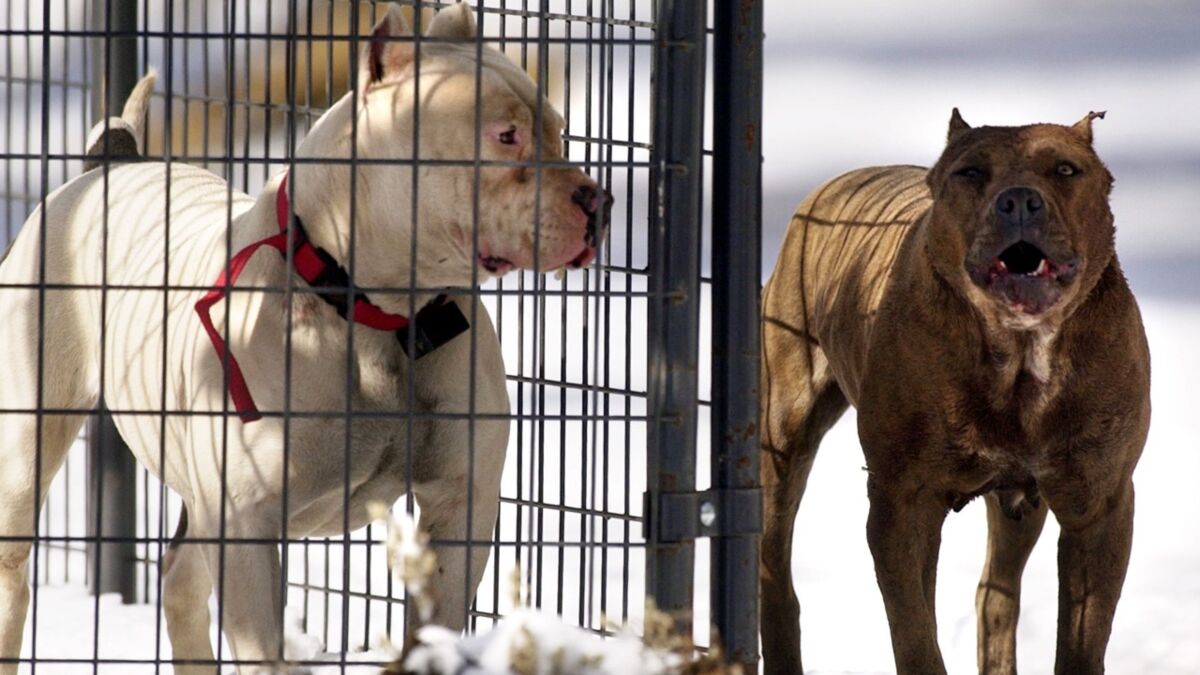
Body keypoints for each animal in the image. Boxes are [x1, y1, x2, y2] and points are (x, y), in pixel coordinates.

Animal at [0, 2, 604, 667]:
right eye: (505, 137)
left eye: (560, 131)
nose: (599, 201)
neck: (379, 312)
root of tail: (110, 167)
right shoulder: (247, 526)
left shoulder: (459, 508)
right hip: (28, 447)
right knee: (15, 570)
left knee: (180, 578)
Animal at [763, 111, 1147, 672]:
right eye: (970, 172)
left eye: (1065, 169)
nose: (1019, 200)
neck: (1019, 356)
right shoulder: (902, 501)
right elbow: (915, 633)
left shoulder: (1098, 504)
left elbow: (1081, 638)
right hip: (783, 434)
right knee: (775, 566)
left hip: (1021, 504)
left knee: (995, 593)